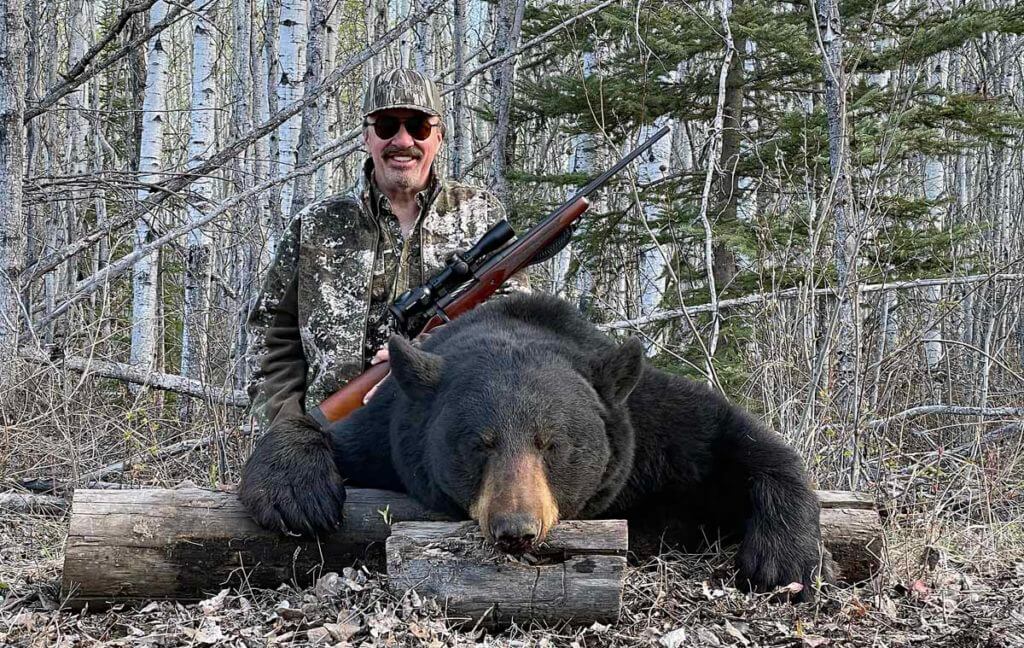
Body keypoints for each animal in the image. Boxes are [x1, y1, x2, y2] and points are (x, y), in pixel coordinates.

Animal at [239, 292, 829, 601]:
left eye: (553, 444)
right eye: (479, 444)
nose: (515, 529)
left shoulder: (647, 423)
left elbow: (742, 440)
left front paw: (782, 559)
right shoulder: (391, 430)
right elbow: (315, 429)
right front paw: (298, 496)